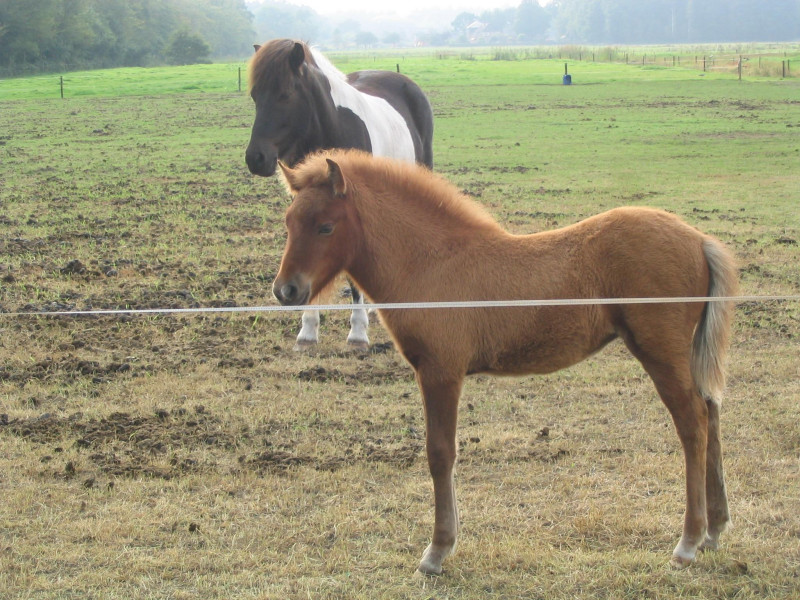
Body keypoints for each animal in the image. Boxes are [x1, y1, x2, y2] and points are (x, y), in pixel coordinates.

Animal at [272, 149, 738, 575]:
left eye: (326, 226)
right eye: (289, 223)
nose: (286, 291)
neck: (431, 262)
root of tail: (699, 240)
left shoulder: (440, 372)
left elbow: (440, 452)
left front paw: (437, 551)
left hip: (660, 352)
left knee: (693, 423)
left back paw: (688, 542)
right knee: (711, 412)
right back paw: (715, 530)